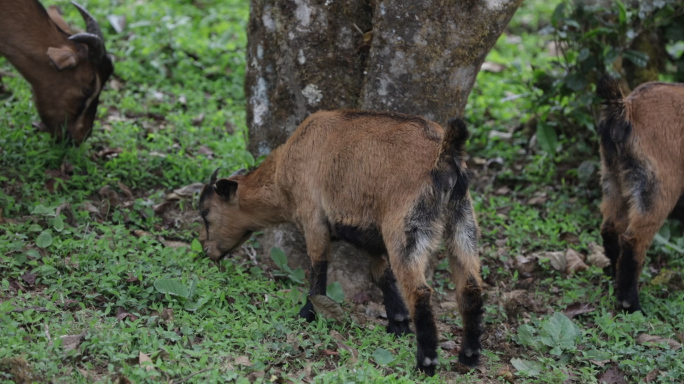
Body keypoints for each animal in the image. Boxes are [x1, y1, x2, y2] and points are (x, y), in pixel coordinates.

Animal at [199, 109, 486, 376]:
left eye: (205, 212)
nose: (206, 251)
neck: (283, 173)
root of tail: (444, 154)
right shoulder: (371, 233)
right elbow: (381, 274)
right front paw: (398, 324)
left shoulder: (313, 216)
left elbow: (318, 267)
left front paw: (307, 314)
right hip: (462, 222)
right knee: (470, 287)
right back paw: (469, 357)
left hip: (408, 228)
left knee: (420, 291)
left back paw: (426, 363)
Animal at [600, 77, 684, 312]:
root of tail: (627, 109)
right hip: (656, 187)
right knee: (633, 240)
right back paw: (631, 304)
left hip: (613, 177)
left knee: (610, 227)